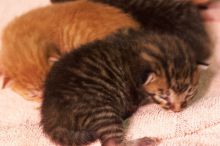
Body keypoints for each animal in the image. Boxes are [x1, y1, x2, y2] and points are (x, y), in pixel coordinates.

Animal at [40, 27, 199, 146]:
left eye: (189, 92)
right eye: (164, 95)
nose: (178, 110)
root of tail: (50, 114)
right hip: (101, 109)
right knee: (112, 143)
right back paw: (144, 141)